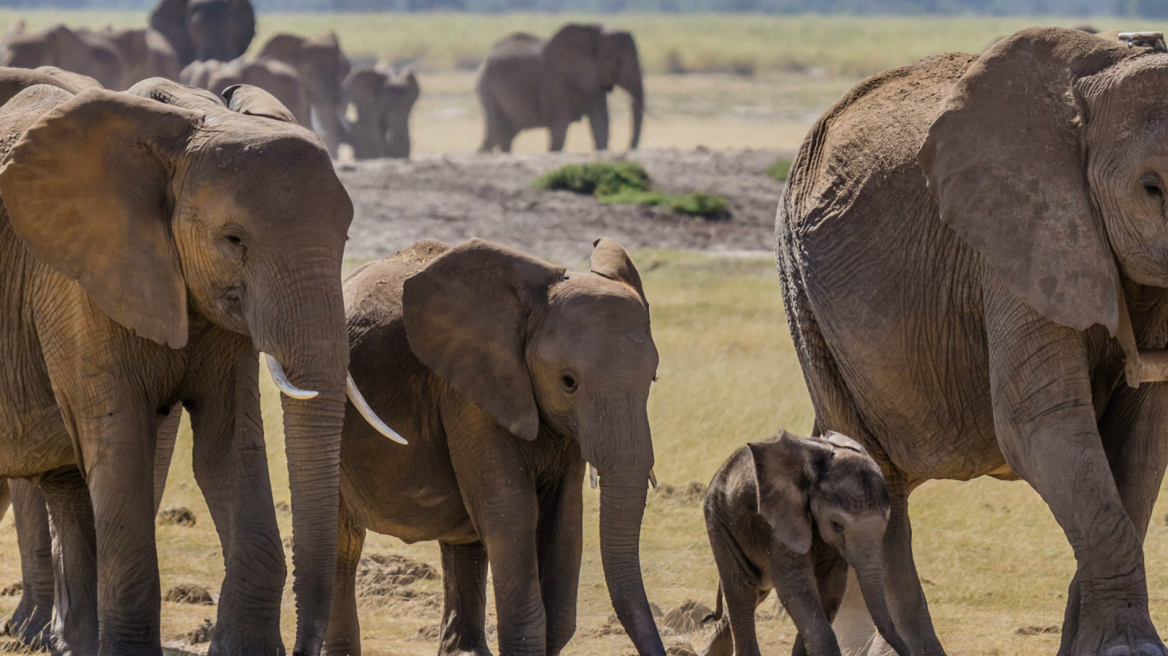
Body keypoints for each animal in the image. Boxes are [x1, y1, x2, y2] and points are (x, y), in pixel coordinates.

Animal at [0, 71, 397, 653]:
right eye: (233, 239)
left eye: (345, 238)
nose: (307, 646)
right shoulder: (75, 284)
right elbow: (118, 441)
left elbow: (228, 447)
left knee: (68, 490)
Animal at [324, 236, 668, 653]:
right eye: (568, 382)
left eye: (653, 378)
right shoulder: (470, 393)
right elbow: (510, 512)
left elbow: (564, 519)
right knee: (344, 543)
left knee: (465, 538)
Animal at [476, 22, 649, 152]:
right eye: (617, 60)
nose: (629, 148)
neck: (594, 34)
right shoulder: (555, 82)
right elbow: (560, 126)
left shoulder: (594, 83)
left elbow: (601, 122)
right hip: (487, 88)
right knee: (498, 132)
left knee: (502, 135)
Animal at [696, 429, 906, 653]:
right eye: (837, 525)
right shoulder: (784, 518)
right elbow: (793, 585)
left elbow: (831, 589)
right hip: (719, 520)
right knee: (742, 591)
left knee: (754, 594)